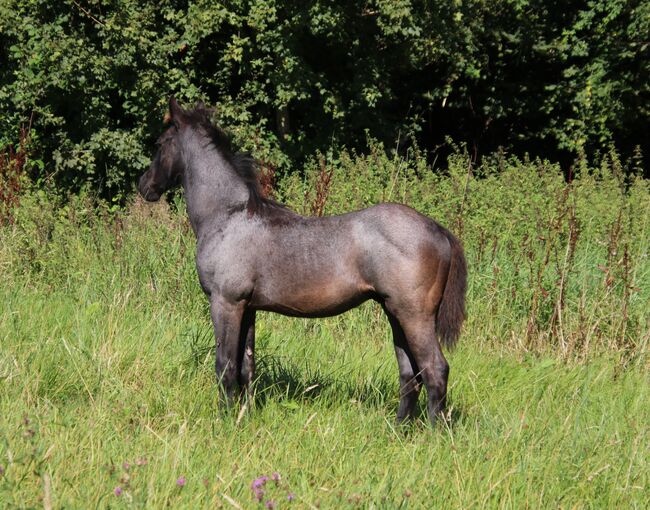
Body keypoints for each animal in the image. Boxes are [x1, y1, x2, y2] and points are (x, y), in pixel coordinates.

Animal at [138, 97, 466, 424]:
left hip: (414, 316)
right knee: (410, 374)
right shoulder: (248, 308)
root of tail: (438, 230)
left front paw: (226, 420)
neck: (227, 217)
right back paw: (398, 429)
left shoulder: (225, 302)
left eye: (160, 143)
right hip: (394, 313)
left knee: (435, 370)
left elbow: (225, 366)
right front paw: (245, 416)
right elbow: (247, 367)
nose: (145, 186)